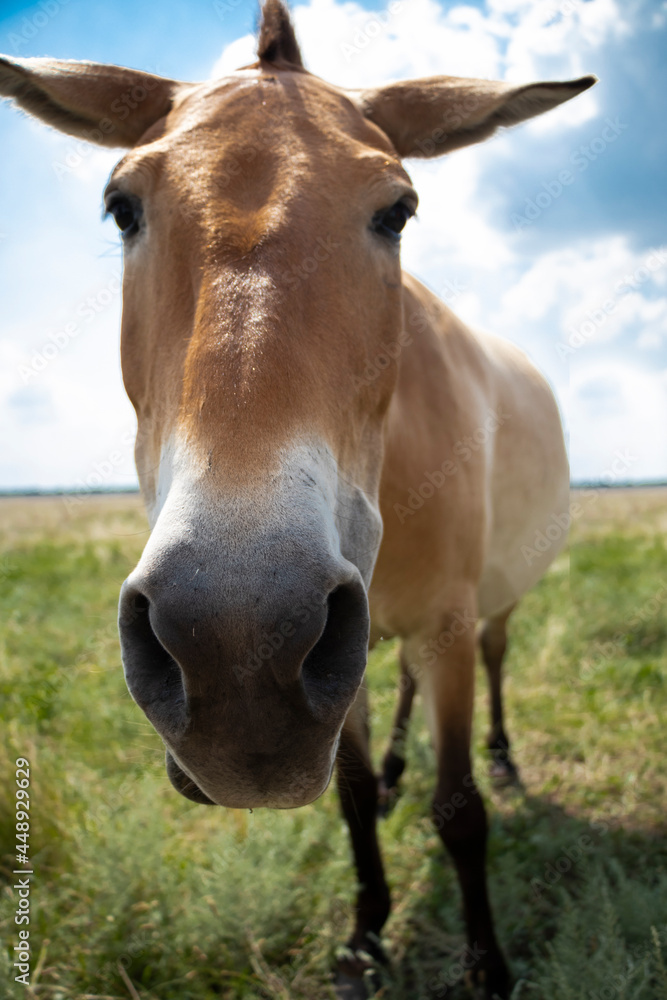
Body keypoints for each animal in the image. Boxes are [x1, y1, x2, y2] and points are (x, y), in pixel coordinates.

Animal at [0, 3, 596, 996]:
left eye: (397, 210)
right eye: (122, 207)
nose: (234, 648)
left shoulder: (443, 622)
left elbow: (459, 809)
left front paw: (485, 962)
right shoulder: (342, 648)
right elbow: (349, 795)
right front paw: (365, 933)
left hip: (491, 606)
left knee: (497, 663)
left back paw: (506, 762)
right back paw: (393, 770)